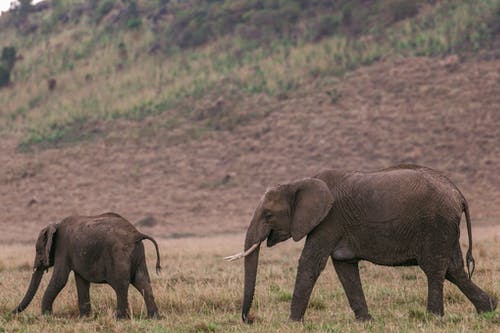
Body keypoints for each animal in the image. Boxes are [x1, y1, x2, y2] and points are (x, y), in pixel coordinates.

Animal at [12, 211, 160, 318]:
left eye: (38, 250)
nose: (11, 313)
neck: (56, 225)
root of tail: (137, 234)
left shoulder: (63, 248)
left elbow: (60, 279)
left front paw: (47, 317)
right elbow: (81, 281)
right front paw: (84, 318)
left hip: (119, 254)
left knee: (121, 285)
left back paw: (120, 318)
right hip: (139, 253)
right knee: (143, 282)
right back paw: (153, 317)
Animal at [226, 165, 496, 322]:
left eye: (268, 215)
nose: (250, 319)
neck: (299, 182)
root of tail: (458, 193)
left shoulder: (329, 220)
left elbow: (310, 263)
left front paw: (292, 322)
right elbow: (344, 267)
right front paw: (365, 321)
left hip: (436, 223)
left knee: (435, 269)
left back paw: (433, 318)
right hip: (446, 227)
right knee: (455, 270)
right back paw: (489, 309)